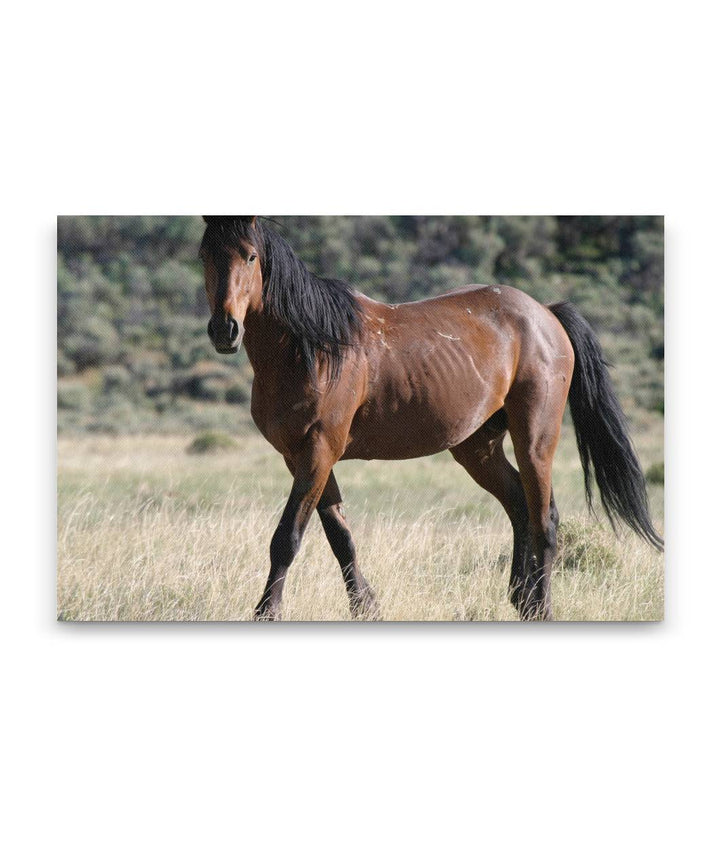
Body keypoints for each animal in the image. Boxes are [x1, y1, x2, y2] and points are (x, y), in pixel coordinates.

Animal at [198, 217, 664, 620]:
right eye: (204, 254)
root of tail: (546, 314)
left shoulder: (318, 450)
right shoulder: (302, 457)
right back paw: (521, 600)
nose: (225, 330)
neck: (313, 348)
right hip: (477, 447)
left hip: (535, 438)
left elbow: (288, 537)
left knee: (544, 520)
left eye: (251, 256)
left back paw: (541, 608)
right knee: (518, 504)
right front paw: (365, 606)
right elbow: (340, 536)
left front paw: (267, 612)